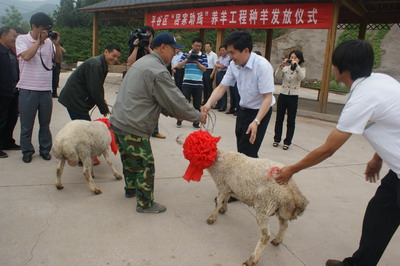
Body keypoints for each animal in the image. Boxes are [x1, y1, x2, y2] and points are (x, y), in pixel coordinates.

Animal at [182, 131, 310, 266]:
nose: (178, 139)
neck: (218, 160)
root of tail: (293, 190)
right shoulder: (228, 186)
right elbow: (226, 198)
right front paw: (223, 209)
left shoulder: (222, 185)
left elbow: (218, 201)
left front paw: (212, 218)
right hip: (281, 207)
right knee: (284, 224)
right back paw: (277, 240)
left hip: (264, 205)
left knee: (265, 236)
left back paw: (252, 259)